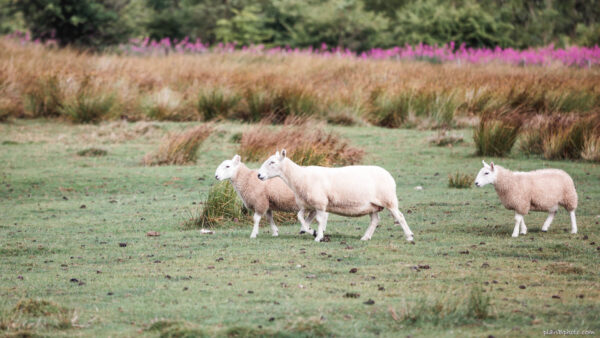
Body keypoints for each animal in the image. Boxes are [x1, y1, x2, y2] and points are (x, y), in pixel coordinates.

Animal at [255, 149, 414, 242]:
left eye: (272, 162)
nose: (259, 175)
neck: (300, 177)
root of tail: (389, 175)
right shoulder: (309, 204)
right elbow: (301, 217)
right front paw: (309, 230)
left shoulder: (320, 203)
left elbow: (319, 220)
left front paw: (318, 236)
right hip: (373, 205)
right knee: (375, 220)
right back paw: (365, 237)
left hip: (389, 200)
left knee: (400, 216)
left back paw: (409, 236)